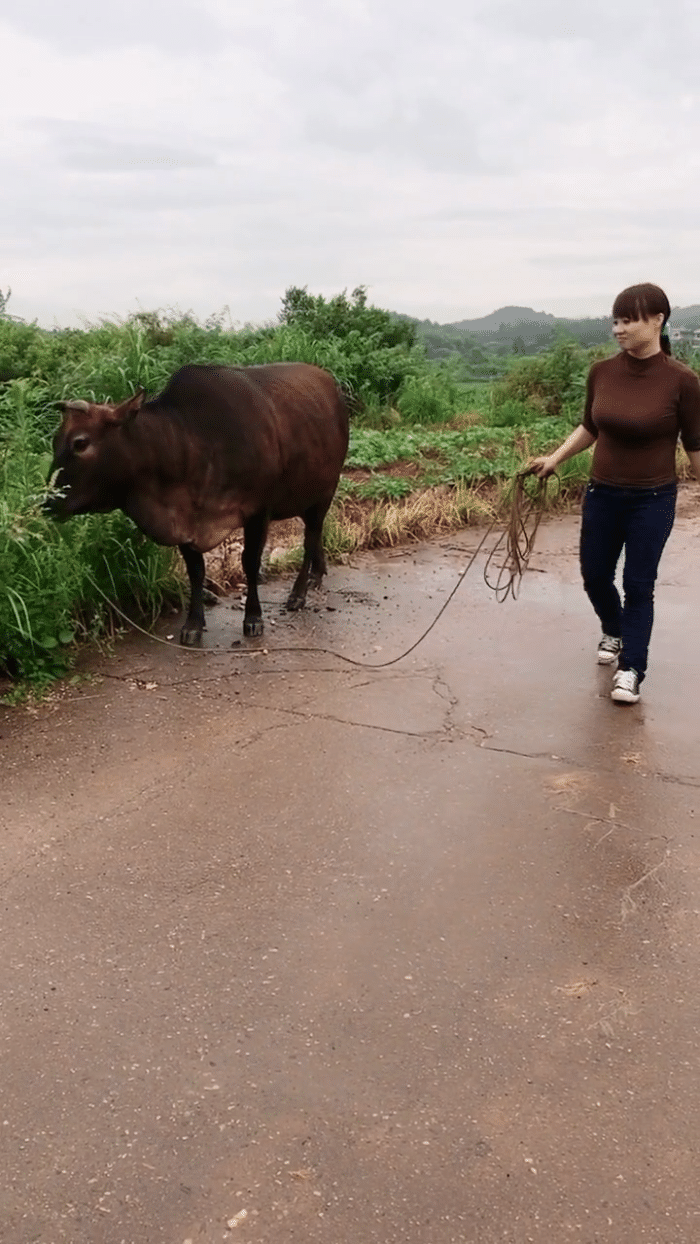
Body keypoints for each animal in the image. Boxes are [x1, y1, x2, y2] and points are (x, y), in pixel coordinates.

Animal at [47, 360, 348, 646]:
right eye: (54, 441)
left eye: (80, 443)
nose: (48, 503)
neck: (190, 442)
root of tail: (330, 383)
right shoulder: (183, 521)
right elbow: (195, 572)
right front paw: (193, 624)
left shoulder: (258, 511)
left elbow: (250, 562)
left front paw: (253, 617)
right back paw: (317, 574)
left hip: (325, 491)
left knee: (310, 538)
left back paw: (299, 592)